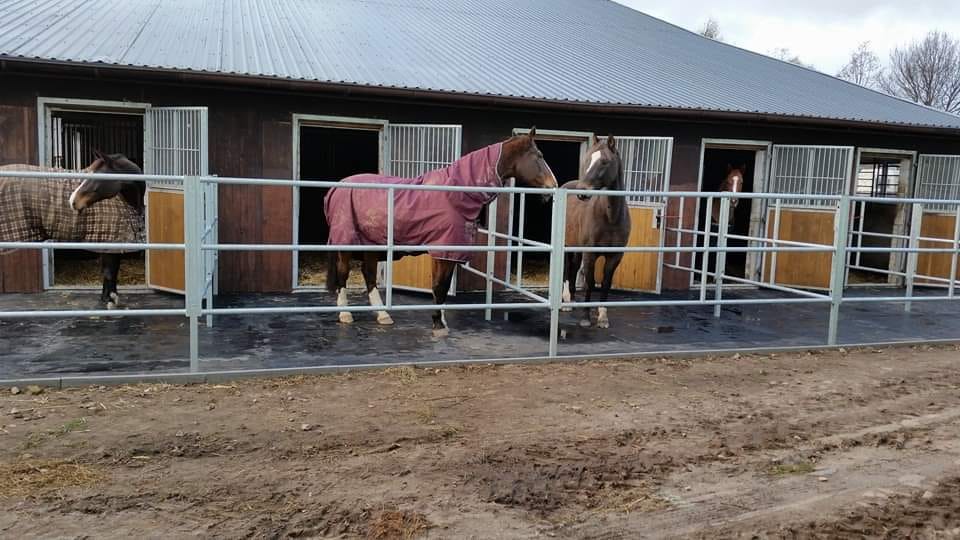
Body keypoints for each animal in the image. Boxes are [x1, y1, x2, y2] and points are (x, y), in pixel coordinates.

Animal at [0, 151, 145, 308]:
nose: (73, 201)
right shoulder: (109, 242)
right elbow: (109, 272)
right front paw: (110, 300)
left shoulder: (113, 243)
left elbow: (112, 270)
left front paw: (108, 297)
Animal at [324, 128, 558, 336]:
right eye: (539, 156)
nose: (553, 186)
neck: (456, 193)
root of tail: (338, 186)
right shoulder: (443, 251)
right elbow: (439, 286)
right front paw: (438, 324)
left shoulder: (450, 252)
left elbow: (442, 289)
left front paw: (442, 321)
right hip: (346, 244)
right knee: (343, 275)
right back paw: (345, 314)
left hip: (372, 243)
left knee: (369, 275)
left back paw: (383, 315)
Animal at [560, 135, 630, 329]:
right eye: (587, 160)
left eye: (604, 162)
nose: (582, 193)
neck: (610, 217)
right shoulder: (590, 254)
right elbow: (590, 283)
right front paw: (585, 318)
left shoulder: (615, 256)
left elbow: (605, 283)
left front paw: (603, 318)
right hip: (566, 245)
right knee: (566, 268)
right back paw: (566, 302)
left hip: (576, 247)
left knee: (574, 267)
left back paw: (572, 300)